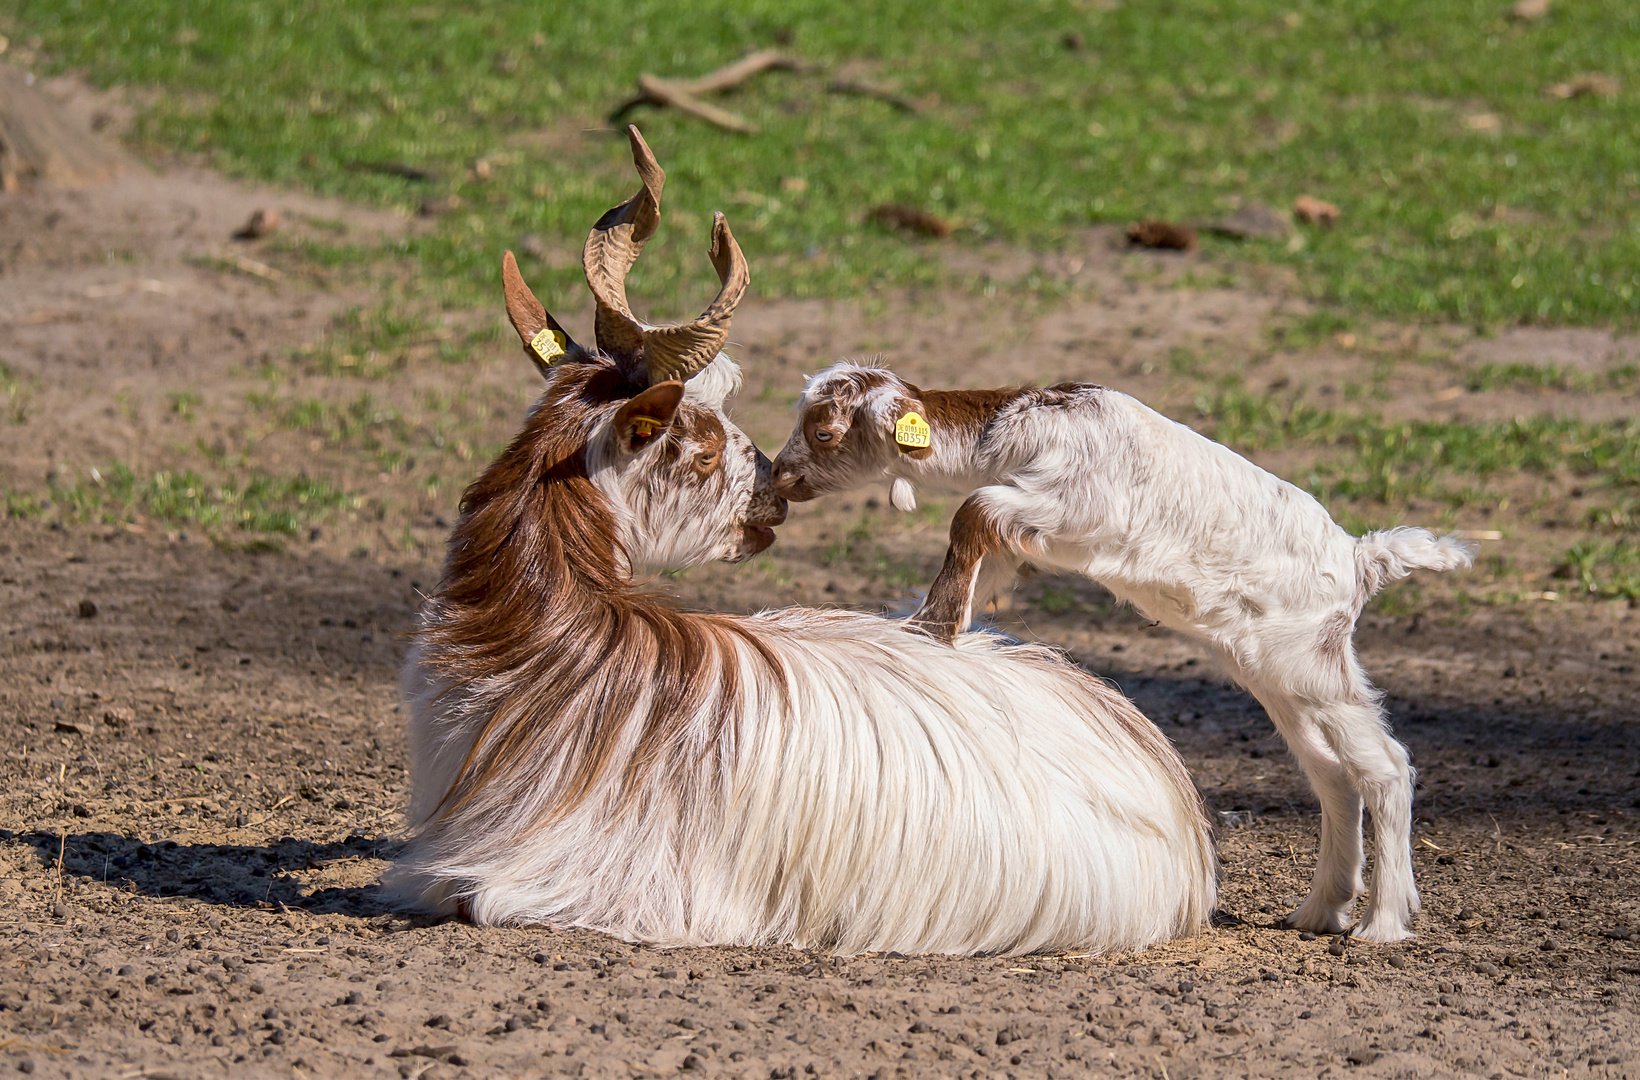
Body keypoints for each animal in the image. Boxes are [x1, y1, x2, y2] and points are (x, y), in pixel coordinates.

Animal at [767, 360, 1476, 937]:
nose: (780, 477)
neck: (1032, 426)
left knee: (1386, 768)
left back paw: (1383, 923)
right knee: (1333, 774)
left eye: (824, 432)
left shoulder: (1073, 508)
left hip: (1312, 668)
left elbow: (973, 509)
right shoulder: (1028, 536)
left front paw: (930, 629)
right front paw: (919, 626)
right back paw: (1322, 910)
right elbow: (983, 560)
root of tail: (1362, 559)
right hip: (1282, 675)